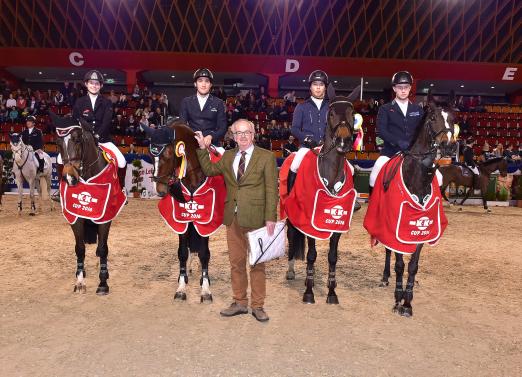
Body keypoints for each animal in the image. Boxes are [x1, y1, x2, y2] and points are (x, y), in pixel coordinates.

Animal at [143, 119, 224, 304]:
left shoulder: (204, 221)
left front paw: (205, 290)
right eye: (150, 155)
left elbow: (204, 253)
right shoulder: (182, 220)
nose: (160, 190)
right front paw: (181, 287)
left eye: (167, 155)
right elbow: (182, 252)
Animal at [280, 84, 358, 302]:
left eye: (352, 114)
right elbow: (311, 255)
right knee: (291, 237)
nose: (343, 141)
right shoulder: (308, 221)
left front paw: (331, 292)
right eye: (331, 113)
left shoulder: (337, 222)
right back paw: (291, 271)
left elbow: (332, 256)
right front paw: (308, 292)